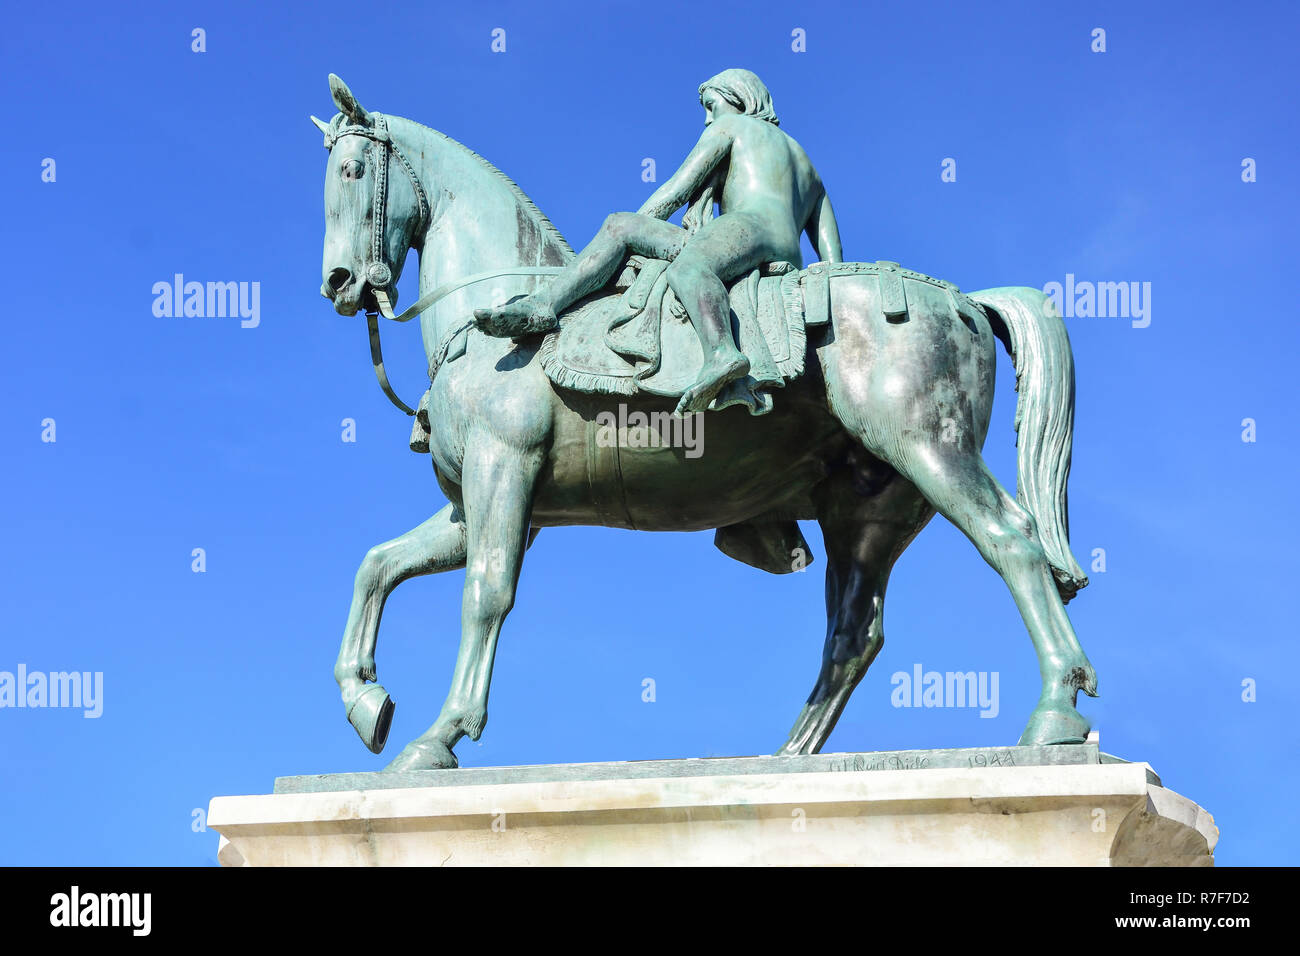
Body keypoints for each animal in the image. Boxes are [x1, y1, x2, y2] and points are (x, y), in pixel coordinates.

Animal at [312, 76, 1097, 780]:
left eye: (352, 170)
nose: (340, 282)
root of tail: (968, 302)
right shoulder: (480, 503)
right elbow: (376, 565)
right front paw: (365, 701)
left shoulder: (503, 467)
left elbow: (486, 593)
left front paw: (439, 737)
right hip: (868, 511)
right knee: (854, 633)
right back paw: (787, 756)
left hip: (929, 451)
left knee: (1013, 545)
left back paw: (1056, 714)